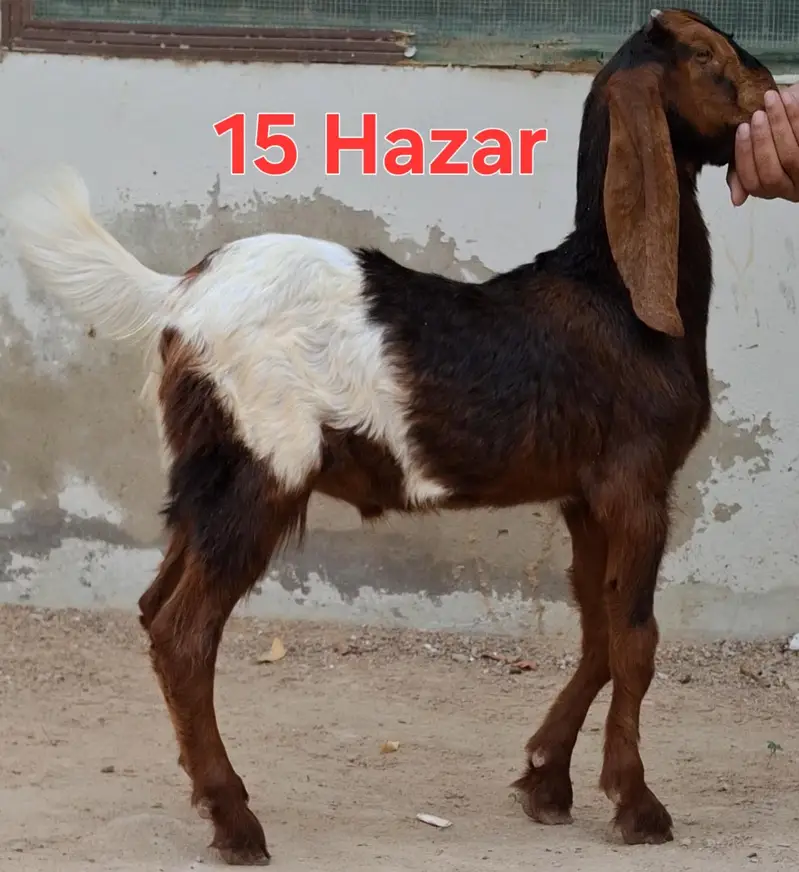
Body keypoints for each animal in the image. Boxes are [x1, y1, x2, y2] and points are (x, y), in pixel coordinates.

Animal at [2, 7, 776, 866]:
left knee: (151, 607)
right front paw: (637, 806)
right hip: (260, 468)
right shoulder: (635, 483)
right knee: (183, 632)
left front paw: (545, 780)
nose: (771, 91)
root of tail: (179, 295)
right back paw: (236, 821)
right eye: (704, 55)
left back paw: (209, 799)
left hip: (207, 476)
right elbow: (636, 640)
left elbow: (599, 632)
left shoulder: (581, 495)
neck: (615, 296)